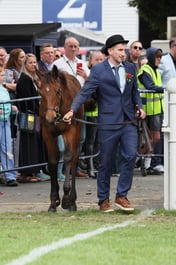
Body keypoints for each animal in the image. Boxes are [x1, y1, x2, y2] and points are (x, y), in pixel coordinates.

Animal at [36, 65, 83, 211]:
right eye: (41, 93)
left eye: (58, 91)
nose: (50, 117)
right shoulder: (48, 133)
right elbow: (52, 161)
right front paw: (54, 200)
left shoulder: (70, 130)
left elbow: (68, 157)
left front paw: (66, 198)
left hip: (77, 131)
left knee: (74, 159)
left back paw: (72, 200)